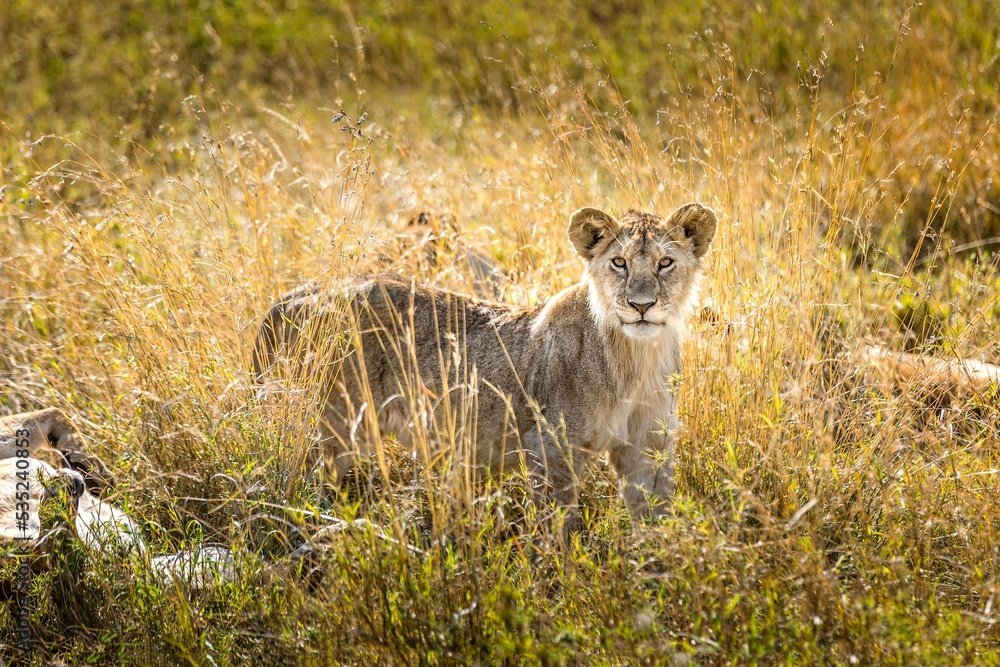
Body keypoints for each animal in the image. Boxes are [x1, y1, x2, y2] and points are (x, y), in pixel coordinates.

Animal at [254, 203, 717, 523]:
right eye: (618, 263)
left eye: (665, 263)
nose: (641, 306)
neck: (636, 359)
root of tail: (306, 291)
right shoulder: (550, 448)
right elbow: (559, 531)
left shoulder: (648, 447)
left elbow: (654, 520)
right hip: (338, 424)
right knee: (304, 482)